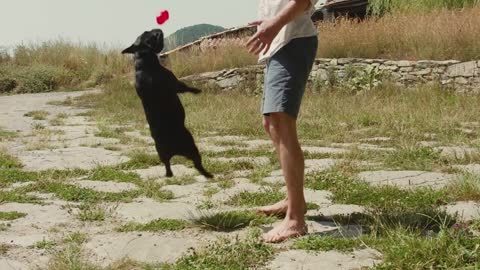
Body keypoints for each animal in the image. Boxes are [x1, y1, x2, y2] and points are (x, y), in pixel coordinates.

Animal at [123, 29, 213, 177]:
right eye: (150, 35)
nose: (157, 30)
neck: (143, 60)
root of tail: (174, 150)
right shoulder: (175, 83)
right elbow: (185, 87)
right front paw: (196, 90)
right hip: (192, 147)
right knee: (197, 164)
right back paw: (208, 175)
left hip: (162, 153)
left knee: (167, 165)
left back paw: (169, 174)